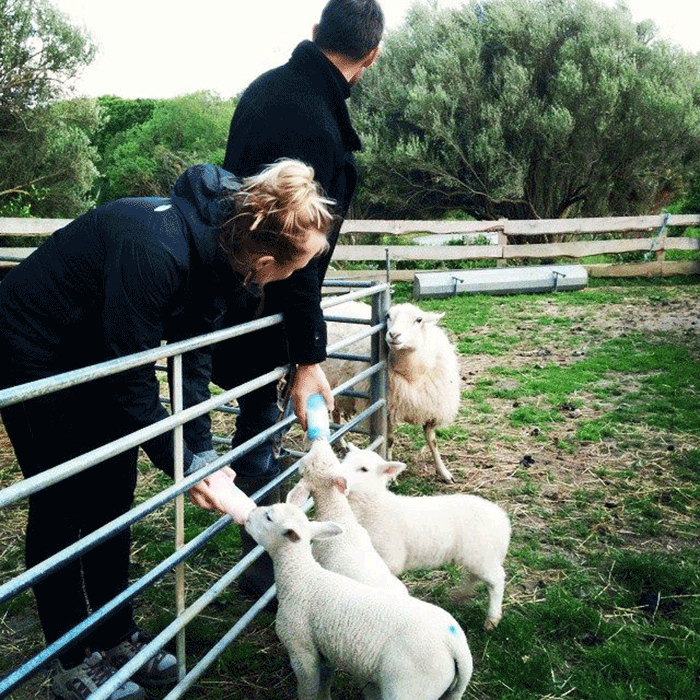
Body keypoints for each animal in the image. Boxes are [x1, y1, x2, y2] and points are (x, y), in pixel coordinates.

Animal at [243, 500, 474, 696]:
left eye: (268, 517)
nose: (247, 516)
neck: (300, 576)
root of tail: (455, 645)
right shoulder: (324, 652)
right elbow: (325, 682)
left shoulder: (301, 649)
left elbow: (307, 688)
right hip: (448, 691)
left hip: (411, 687)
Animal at [324, 298, 464, 484]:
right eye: (388, 316)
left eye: (419, 319)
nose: (393, 335)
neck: (411, 373)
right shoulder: (388, 408)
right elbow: (389, 440)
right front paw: (389, 469)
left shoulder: (430, 405)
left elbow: (432, 441)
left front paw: (443, 472)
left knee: (335, 414)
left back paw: (341, 442)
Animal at [338, 446, 508, 632]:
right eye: (344, 460)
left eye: (364, 469)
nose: (338, 476)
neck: (375, 506)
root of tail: (503, 519)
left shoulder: (390, 556)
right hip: (477, 556)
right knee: (474, 577)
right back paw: (460, 596)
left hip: (482, 555)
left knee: (497, 579)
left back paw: (492, 618)